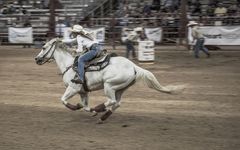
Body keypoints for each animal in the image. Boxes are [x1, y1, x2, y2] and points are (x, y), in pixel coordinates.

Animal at [34, 37, 185, 123]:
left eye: (43, 47)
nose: (36, 59)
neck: (69, 64)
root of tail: (133, 66)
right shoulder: (83, 92)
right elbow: (85, 106)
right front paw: (90, 111)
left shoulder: (73, 88)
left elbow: (63, 100)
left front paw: (77, 107)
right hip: (120, 88)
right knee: (117, 103)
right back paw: (102, 116)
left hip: (109, 86)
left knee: (112, 101)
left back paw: (99, 108)